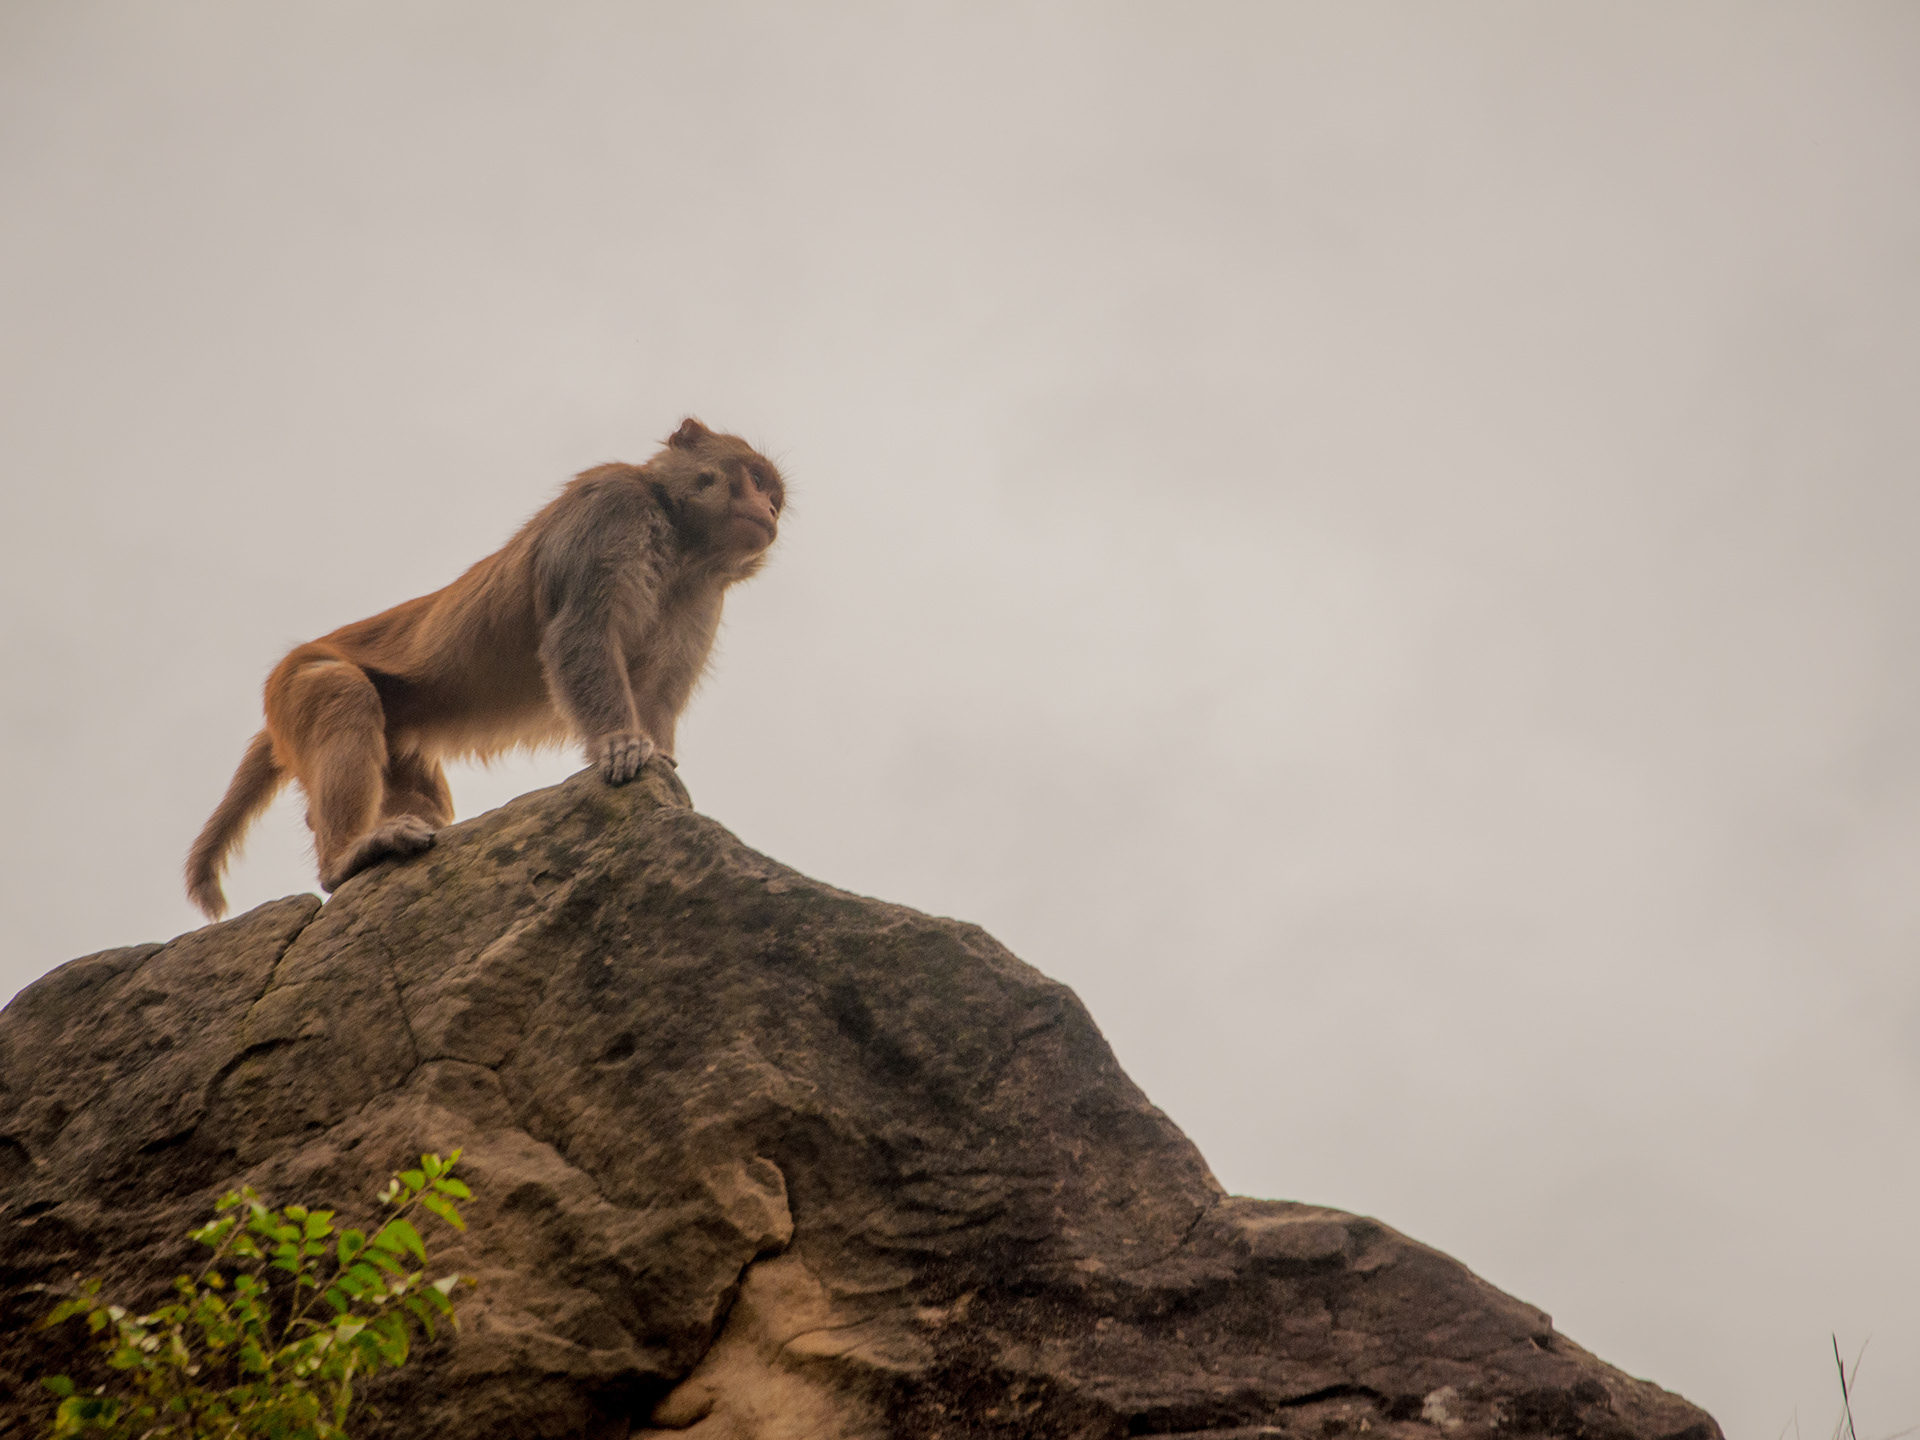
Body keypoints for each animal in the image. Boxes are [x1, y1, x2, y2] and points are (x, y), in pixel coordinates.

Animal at [180, 414, 779, 925]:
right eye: (753, 479)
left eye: (774, 494)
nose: (770, 513)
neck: (678, 533)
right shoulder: (611, 509)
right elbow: (580, 632)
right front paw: (620, 743)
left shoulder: (703, 591)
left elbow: (660, 686)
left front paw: (659, 754)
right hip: (294, 685)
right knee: (339, 691)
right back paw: (347, 856)